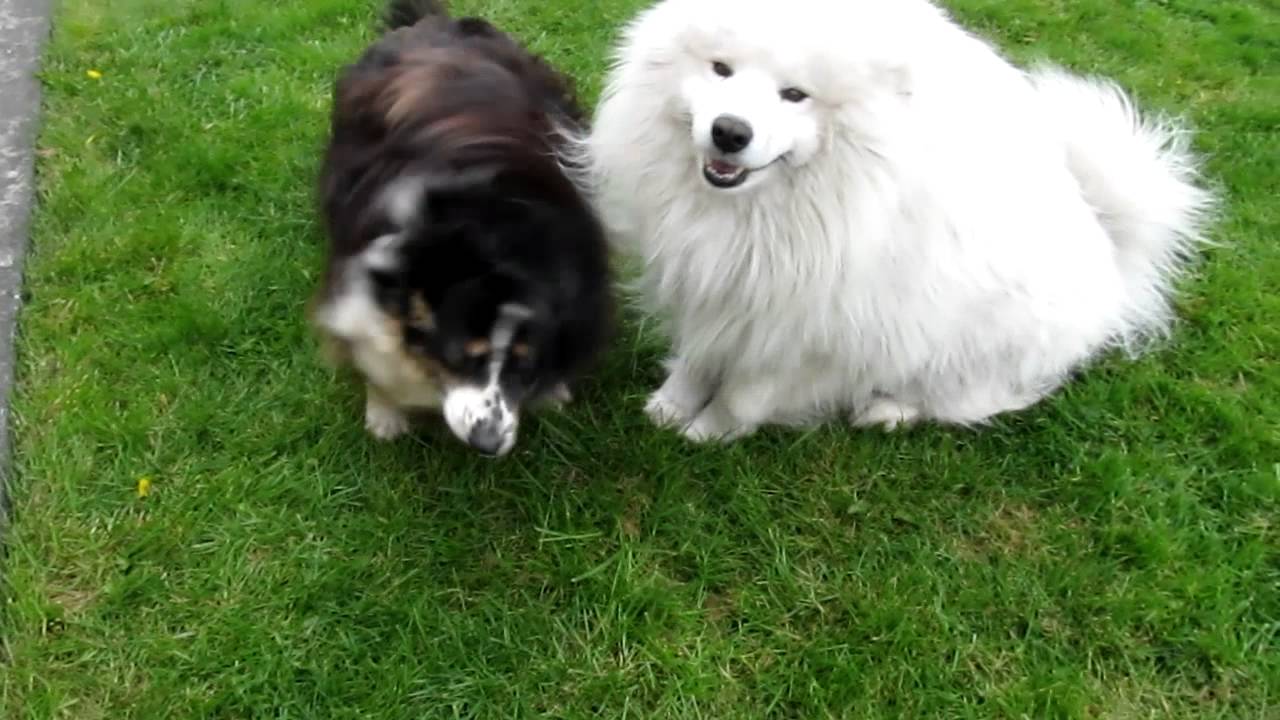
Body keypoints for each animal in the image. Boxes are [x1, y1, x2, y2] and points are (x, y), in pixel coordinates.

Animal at [309, 1, 609, 453]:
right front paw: (385, 413)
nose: (488, 443)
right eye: (465, 357)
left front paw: (553, 389)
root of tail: (434, 23)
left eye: (525, 366)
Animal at [586, 0, 1213, 440]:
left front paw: (709, 433)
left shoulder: (811, 327)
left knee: (978, 400)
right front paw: (671, 409)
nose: (730, 131)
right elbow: (700, 356)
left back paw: (888, 411)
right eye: (720, 69)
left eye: (795, 95)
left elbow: (747, 391)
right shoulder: (720, 286)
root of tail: (1110, 252)